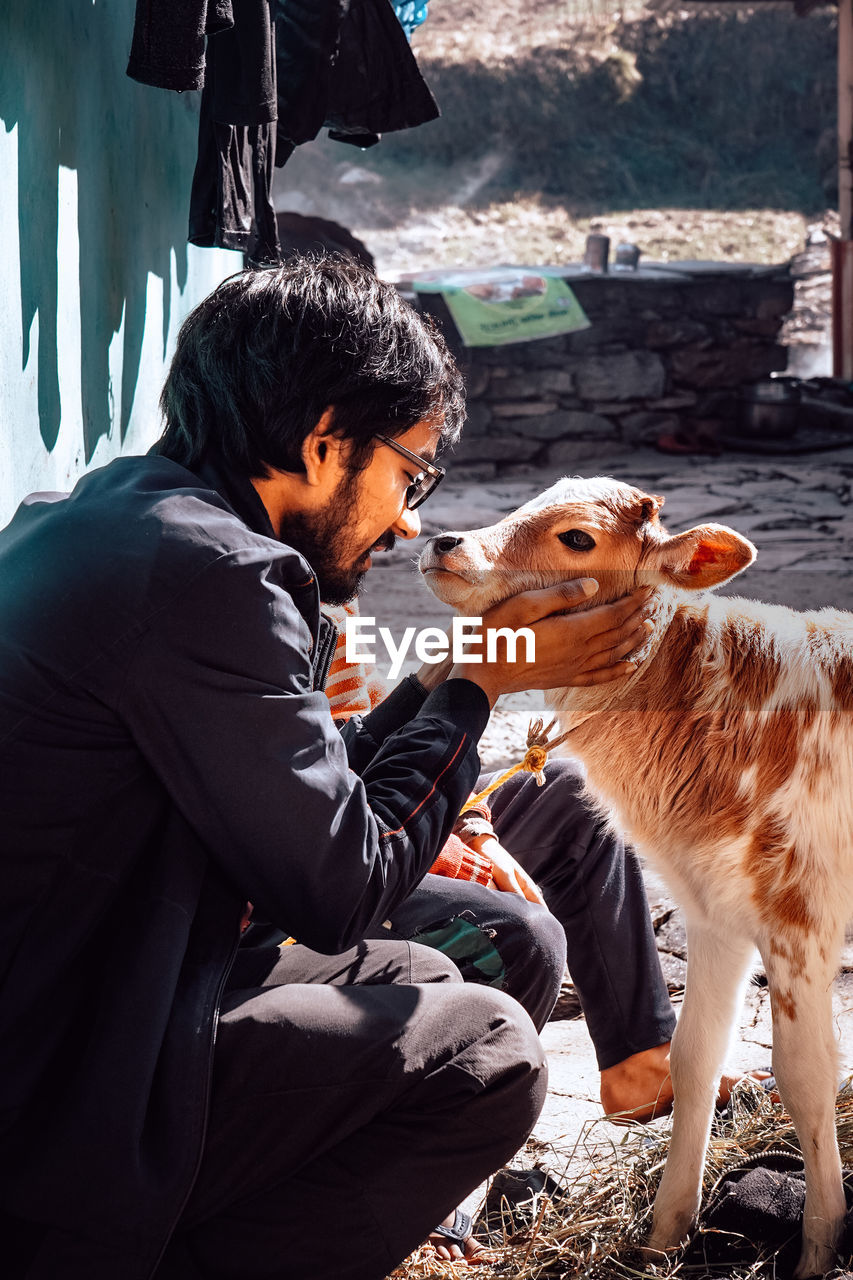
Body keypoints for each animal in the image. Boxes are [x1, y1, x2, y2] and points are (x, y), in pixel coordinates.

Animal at [417, 476, 850, 1274]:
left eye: (577, 538)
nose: (445, 542)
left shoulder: (798, 908)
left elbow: (807, 1077)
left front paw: (815, 1253)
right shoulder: (713, 911)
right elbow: (693, 1059)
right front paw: (658, 1242)